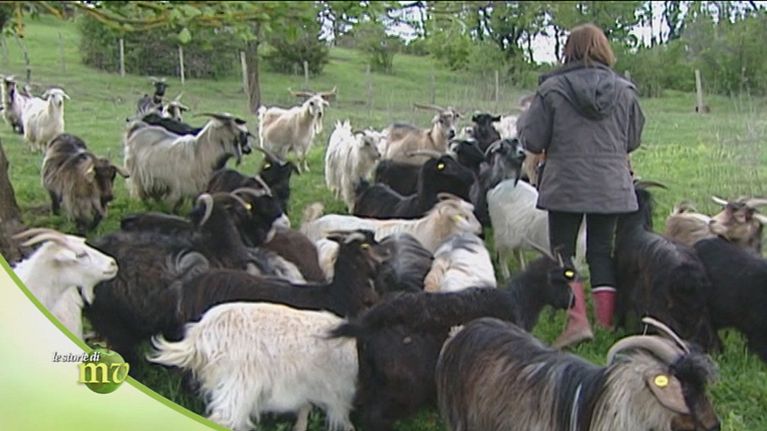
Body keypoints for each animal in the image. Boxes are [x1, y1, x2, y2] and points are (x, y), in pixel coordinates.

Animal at [123, 112, 253, 211]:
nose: (249, 150)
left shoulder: (198, 192)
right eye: (240, 132)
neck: (200, 154)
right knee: (141, 195)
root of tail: (137, 129)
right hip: (138, 178)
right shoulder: (177, 190)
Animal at [148, 302, 357, 431]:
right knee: (225, 418)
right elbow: (340, 414)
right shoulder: (337, 390)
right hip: (240, 383)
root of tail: (200, 334)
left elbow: (305, 410)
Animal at [329, 256, 575, 431]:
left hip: (371, 378)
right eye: (563, 282)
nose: (572, 301)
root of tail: (366, 325)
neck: (518, 300)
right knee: (375, 417)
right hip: (400, 388)